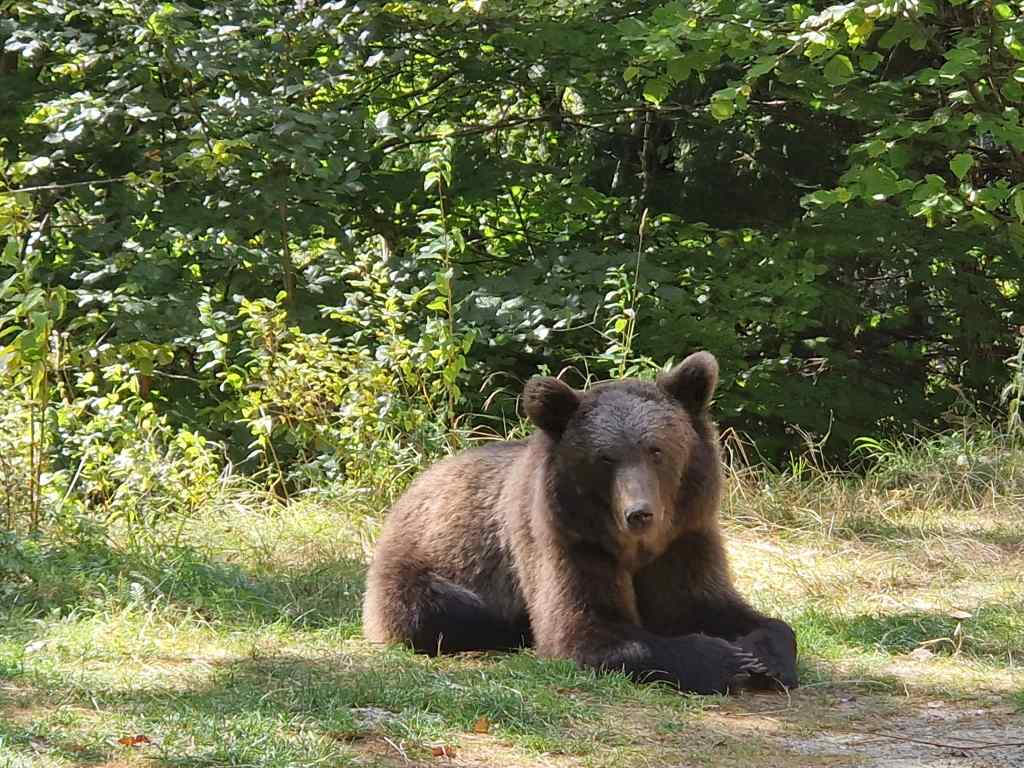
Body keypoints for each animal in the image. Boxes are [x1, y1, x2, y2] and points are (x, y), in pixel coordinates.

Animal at [362, 351, 798, 694]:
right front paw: (720, 659)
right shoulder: (569, 543)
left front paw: (763, 654)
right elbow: (583, 629)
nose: (639, 512)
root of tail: (417, 483)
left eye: (656, 449)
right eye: (605, 457)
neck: (637, 550)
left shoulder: (685, 540)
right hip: (421, 563)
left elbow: (714, 604)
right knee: (438, 609)